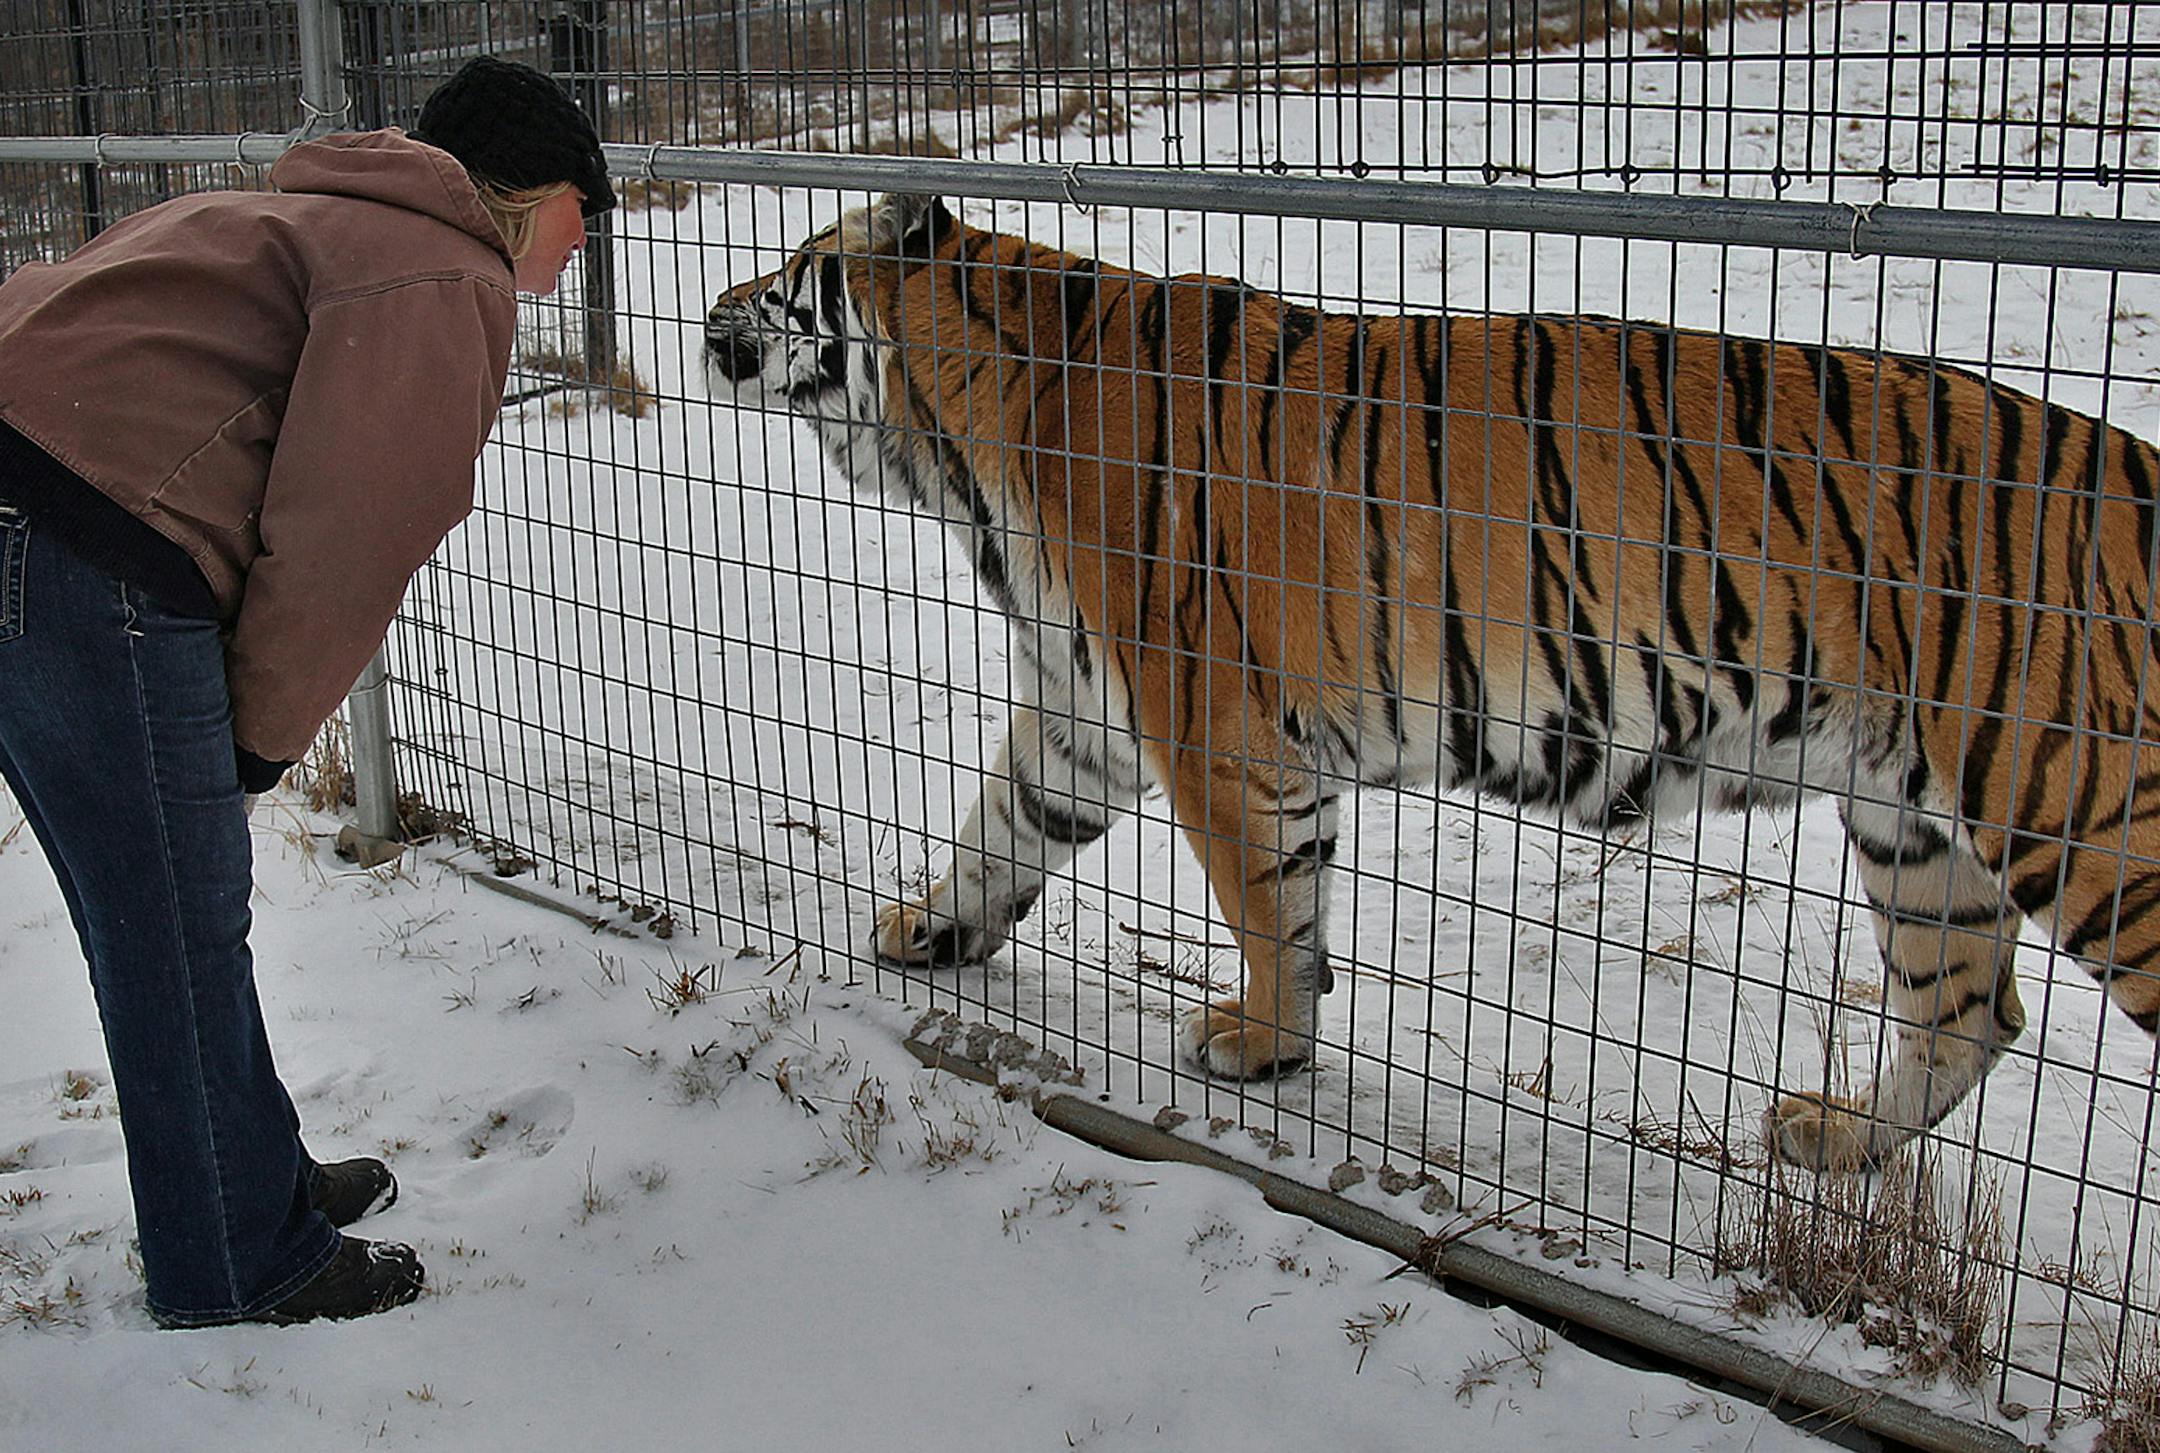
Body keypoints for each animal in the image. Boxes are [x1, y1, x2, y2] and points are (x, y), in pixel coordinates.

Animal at [703, 190, 2160, 1173]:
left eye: (792, 270)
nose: (715, 307)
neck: (952, 445)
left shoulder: (1207, 719)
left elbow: (1265, 902)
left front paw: (1263, 1044)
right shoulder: (1084, 711)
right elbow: (999, 830)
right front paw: (928, 930)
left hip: (2086, 817)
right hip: (1911, 819)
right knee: (1969, 1009)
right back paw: (1833, 1137)